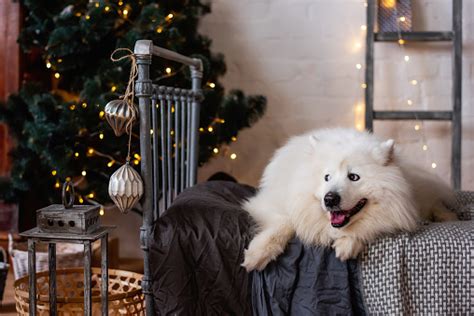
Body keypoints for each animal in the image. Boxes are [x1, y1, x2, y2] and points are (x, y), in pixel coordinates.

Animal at [243, 127, 458, 270]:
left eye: (354, 177)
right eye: (327, 177)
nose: (329, 199)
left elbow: (367, 227)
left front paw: (348, 244)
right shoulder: (268, 202)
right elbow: (285, 222)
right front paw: (258, 253)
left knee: (434, 201)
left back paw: (447, 216)